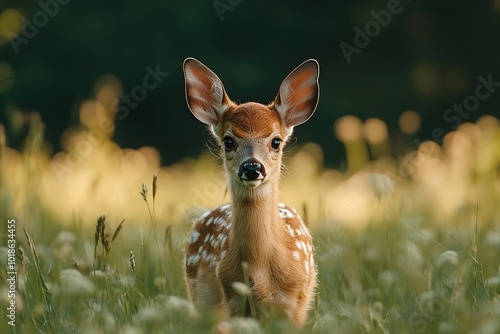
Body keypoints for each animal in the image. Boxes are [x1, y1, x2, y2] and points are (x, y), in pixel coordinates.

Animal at [182, 56, 318, 326]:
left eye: (276, 141)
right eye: (228, 141)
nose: (252, 167)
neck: (259, 270)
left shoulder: (294, 305)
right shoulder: (233, 299)